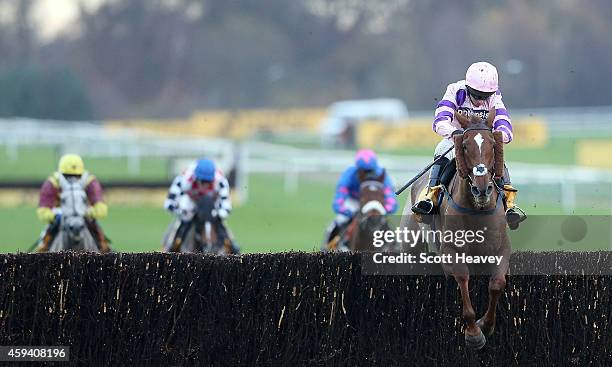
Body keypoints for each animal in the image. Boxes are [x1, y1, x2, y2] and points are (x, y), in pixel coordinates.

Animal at [400, 109, 510, 350]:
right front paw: (474, 334)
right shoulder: (451, 251)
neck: (477, 210)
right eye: (466, 146)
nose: (481, 189)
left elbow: (497, 284)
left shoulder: (501, 249)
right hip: (411, 243)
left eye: (493, 145)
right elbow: (461, 280)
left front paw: (486, 325)